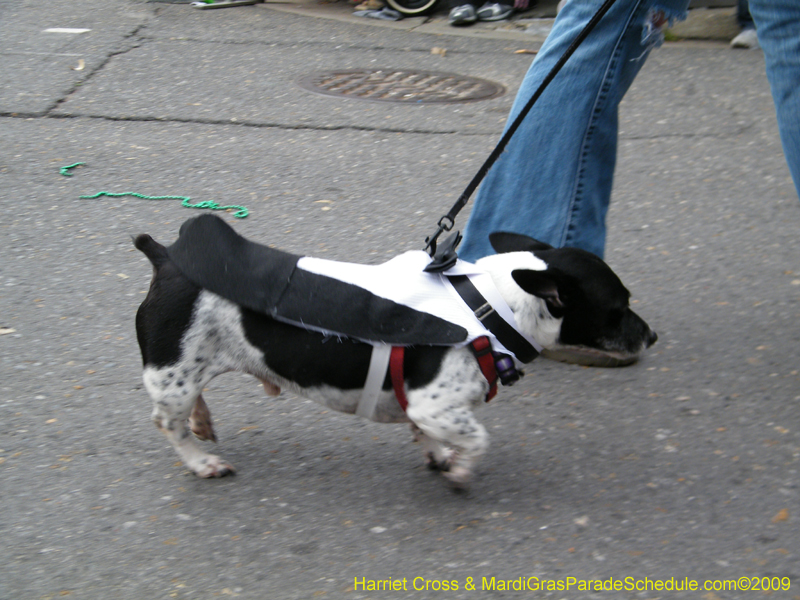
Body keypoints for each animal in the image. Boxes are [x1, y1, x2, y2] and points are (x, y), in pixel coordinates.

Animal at [133, 216, 656, 488]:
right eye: (619, 308)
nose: (651, 337)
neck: (488, 304)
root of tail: (165, 257)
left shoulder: (426, 408)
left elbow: (431, 434)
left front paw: (439, 455)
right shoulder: (434, 404)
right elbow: (477, 439)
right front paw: (460, 469)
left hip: (186, 368)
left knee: (190, 403)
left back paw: (203, 423)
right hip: (173, 375)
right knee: (167, 423)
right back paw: (201, 460)